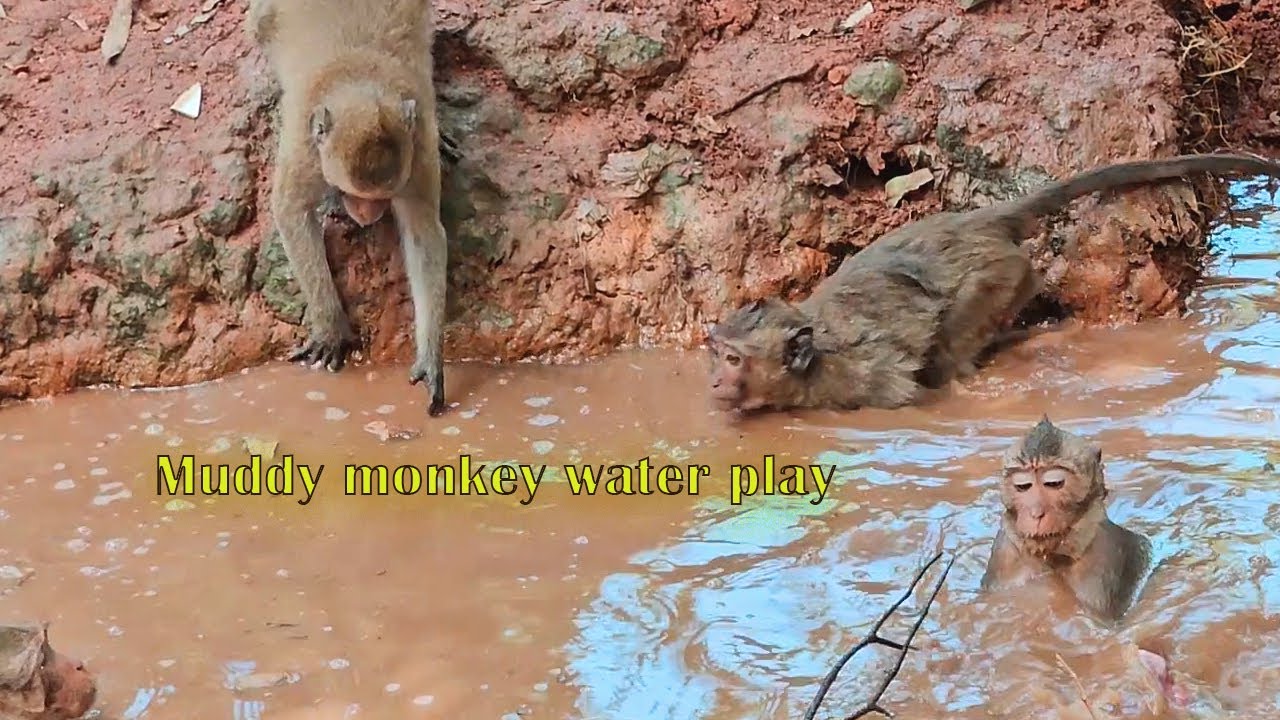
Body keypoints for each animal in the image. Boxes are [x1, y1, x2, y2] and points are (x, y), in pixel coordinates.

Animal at [247, 0, 450, 415]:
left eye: (379, 197)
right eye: (352, 192)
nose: (368, 215)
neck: (360, 78)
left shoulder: (418, 147)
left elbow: (423, 233)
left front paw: (429, 357)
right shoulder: (307, 145)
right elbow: (290, 210)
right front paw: (330, 325)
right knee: (261, 24)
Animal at [706, 153, 1280, 415]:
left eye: (732, 359)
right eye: (715, 355)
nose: (712, 381)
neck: (816, 359)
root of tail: (974, 221)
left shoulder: (865, 384)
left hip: (998, 275)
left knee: (953, 341)